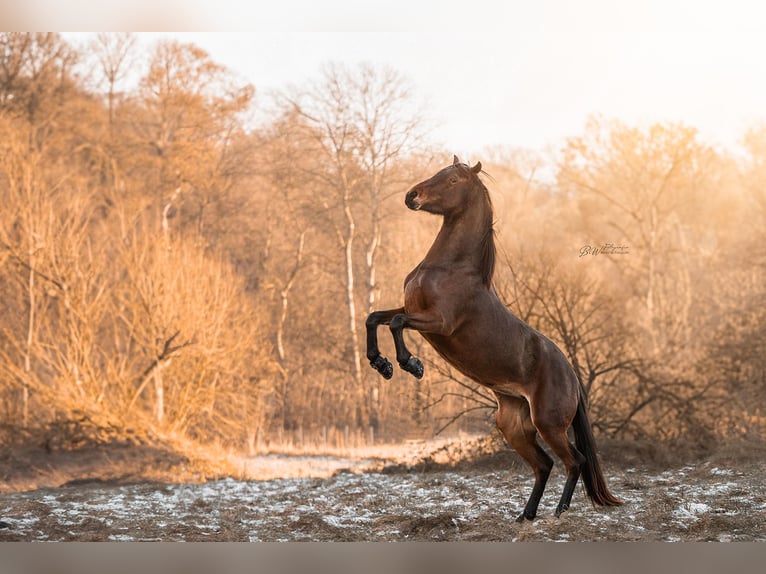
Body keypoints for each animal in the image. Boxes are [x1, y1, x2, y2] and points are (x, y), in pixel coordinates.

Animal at [366, 156, 624, 520]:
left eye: (453, 179)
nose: (411, 196)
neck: (451, 268)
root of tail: (572, 376)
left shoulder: (439, 323)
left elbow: (397, 323)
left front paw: (409, 365)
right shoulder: (411, 309)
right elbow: (374, 318)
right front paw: (380, 363)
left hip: (548, 424)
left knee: (575, 460)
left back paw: (559, 512)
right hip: (513, 426)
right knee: (544, 465)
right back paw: (525, 516)